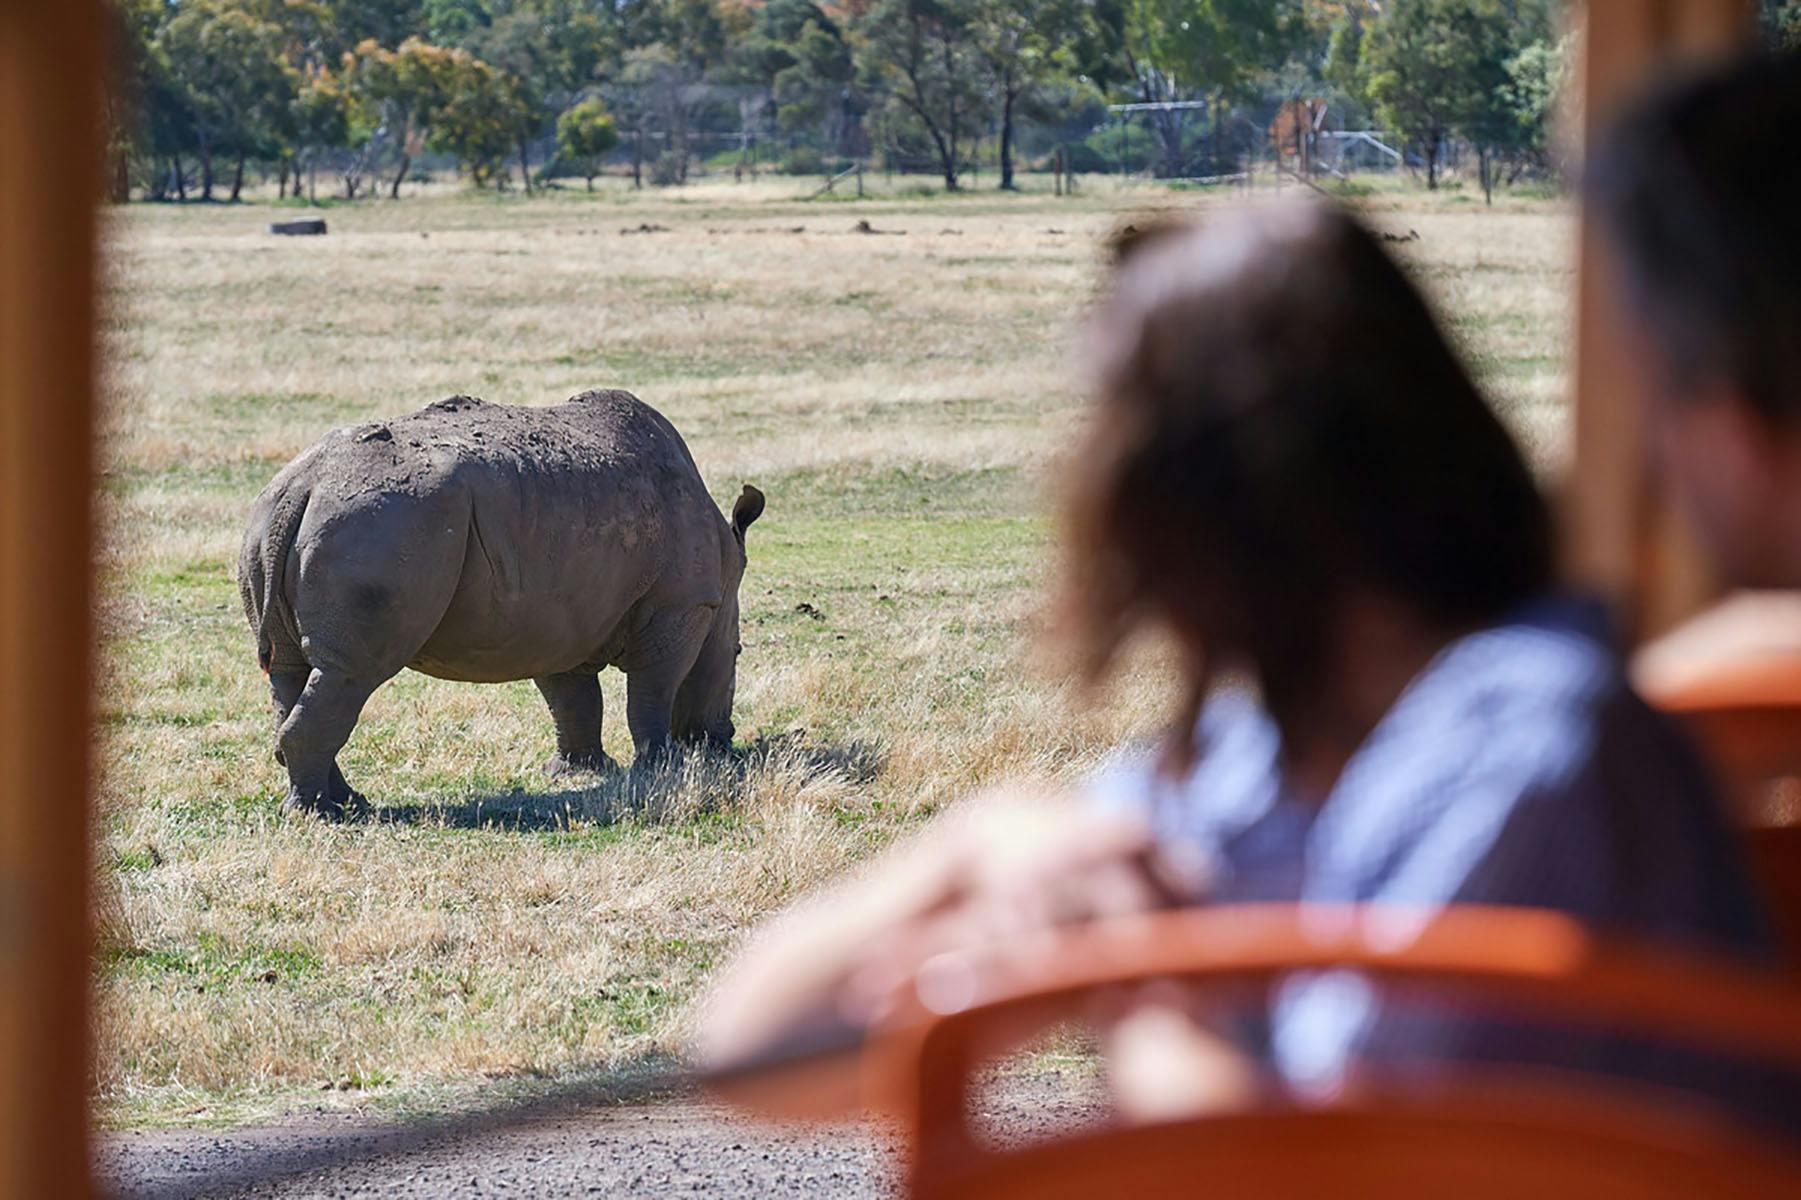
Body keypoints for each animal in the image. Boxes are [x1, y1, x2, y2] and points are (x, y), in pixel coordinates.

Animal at [236, 389, 763, 818]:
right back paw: (324, 814)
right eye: (738, 654)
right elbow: (653, 690)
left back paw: (343, 803)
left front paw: (583, 772)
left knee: (294, 670)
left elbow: (571, 697)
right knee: (352, 673)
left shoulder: (559, 613)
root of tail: (302, 487)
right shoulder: (682, 603)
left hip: (275, 525)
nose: (726, 740)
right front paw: (662, 766)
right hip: (379, 527)